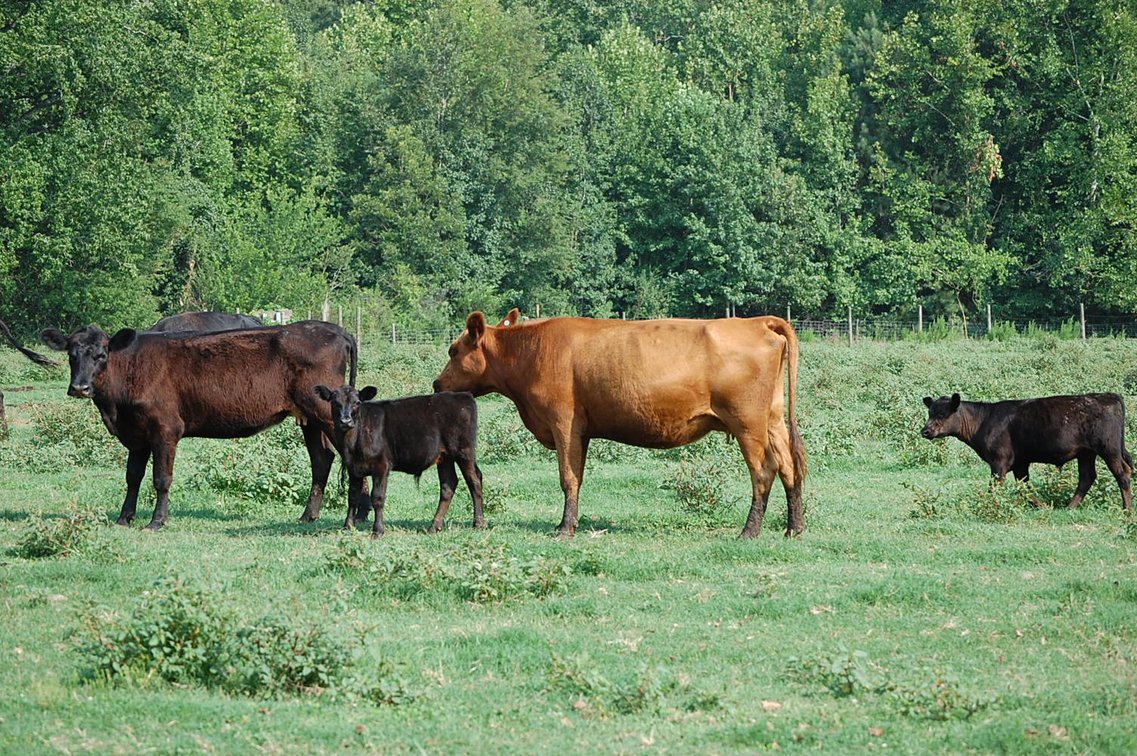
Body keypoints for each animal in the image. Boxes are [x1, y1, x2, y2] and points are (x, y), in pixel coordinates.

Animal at [40, 321, 358, 529]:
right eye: (71, 354)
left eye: (101, 355)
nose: (79, 388)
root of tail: (335, 329)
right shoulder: (137, 435)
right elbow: (133, 477)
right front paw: (123, 518)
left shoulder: (166, 429)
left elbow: (161, 478)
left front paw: (157, 521)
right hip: (310, 417)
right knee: (322, 459)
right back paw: (308, 515)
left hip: (330, 414)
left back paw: (353, 519)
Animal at [314, 384, 484, 538]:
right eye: (335, 403)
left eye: (357, 402)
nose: (346, 421)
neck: (354, 442)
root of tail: (464, 395)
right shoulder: (353, 467)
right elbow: (353, 497)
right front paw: (347, 526)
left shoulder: (381, 466)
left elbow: (377, 498)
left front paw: (378, 530)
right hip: (445, 457)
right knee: (448, 485)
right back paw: (434, 526)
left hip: (464, 451)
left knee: (474, 481)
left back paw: (479, 523)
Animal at [433, 308, 806, 538]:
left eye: (453, 350)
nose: (437, 385)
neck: (533, 350)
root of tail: (756, 322)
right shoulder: (580, 431)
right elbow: (578, 477)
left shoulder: (563, 422)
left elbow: (568, 478)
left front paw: (565, 528)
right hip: (772, 419)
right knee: (790, 467)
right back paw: (794, 527)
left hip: (748, 424)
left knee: (764, 470)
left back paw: (749, 530)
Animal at [921, 392, 1133, 511]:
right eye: (930, 412)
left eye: (942, 414)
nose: (925, 431)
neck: (983, 421)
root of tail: (1108, 395)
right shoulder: (1020, 463)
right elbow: (1024, 487)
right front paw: (1043, 506)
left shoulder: (999, 461)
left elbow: (995, 488)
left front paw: (991, 506)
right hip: (1086, 453)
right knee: (1087, 477)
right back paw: (1069, 507)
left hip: (1109, 449)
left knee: (1122, 474)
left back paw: (1127, 511)